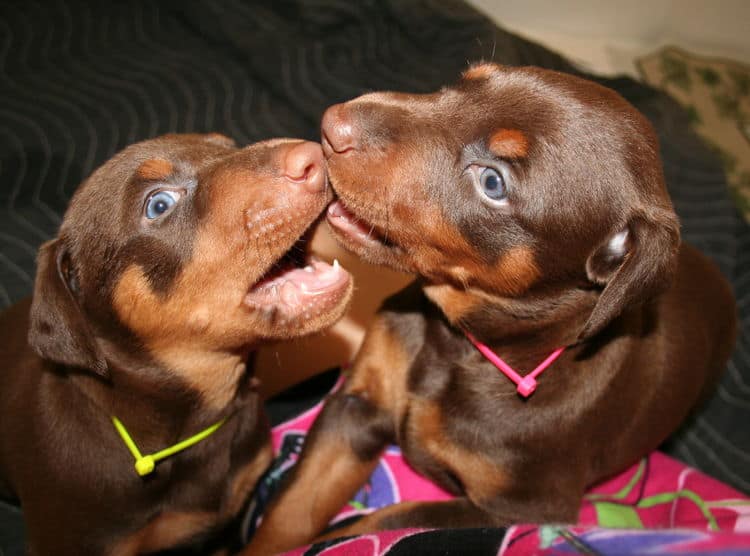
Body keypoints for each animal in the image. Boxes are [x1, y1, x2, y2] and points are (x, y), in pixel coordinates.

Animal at [248, 64, 740, 552]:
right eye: (464, 83)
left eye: (492, 182)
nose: (333, 123)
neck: (461, 344)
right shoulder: (355, 407)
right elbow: (290, 513)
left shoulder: (520, 509)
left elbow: (381, 521)